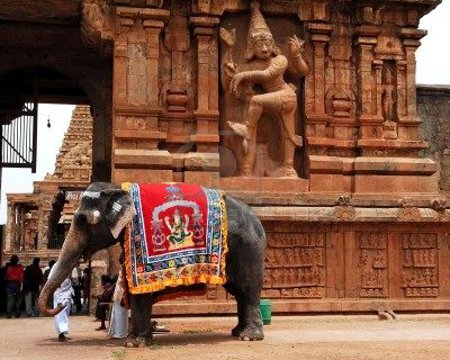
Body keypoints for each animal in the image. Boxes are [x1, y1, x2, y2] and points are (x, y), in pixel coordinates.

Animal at [38, 183, 268, 346]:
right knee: (239, 292)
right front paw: (143, 337)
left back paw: (249, 337)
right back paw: (237, 332)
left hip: (249, 249)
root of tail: (258, 221)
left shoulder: (138, 239)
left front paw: (134, 343)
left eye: (85, 221)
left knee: (247, 290)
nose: (62, 304)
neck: (117, 188)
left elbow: (140, 292)